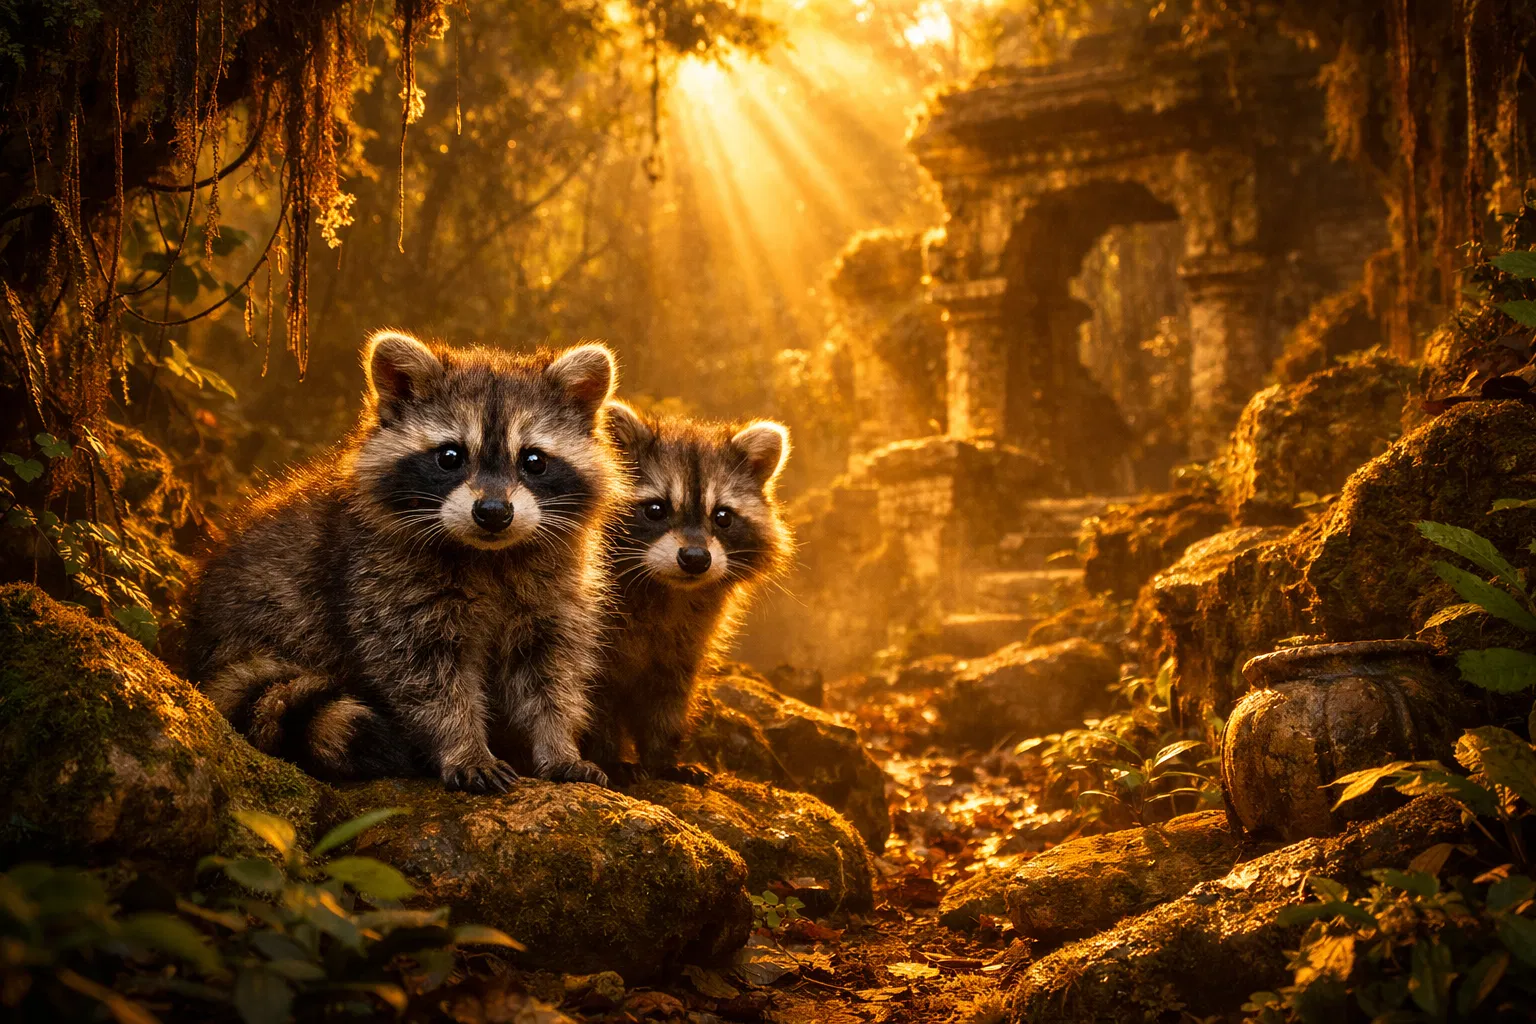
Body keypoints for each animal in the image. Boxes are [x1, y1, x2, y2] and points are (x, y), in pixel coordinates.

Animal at [183, 330, 622, 792]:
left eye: (534, 461)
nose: (493, 513)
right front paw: (463, 745)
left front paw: (558, 745)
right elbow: (426, 677)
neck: (489, 553)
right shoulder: (381, 581)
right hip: (263, 619)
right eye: (450, 457)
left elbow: (551, 674)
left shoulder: (555, 594)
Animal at [582, 403, 793, 784]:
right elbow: (594, 694)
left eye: (722, 517)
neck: (667, 589)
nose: (695, 559)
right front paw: (607, 756)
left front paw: (662, 758)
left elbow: (670, 695)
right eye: (655, 510)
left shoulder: (686, 640)